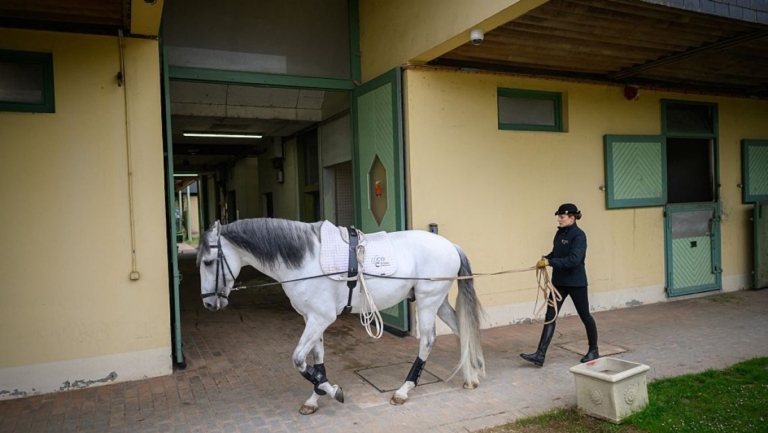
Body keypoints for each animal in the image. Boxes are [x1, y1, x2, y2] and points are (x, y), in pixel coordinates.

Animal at [196, 218, 485, 415]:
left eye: (208, 262)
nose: (209, 303)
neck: (305, 261)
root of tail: (450, 245)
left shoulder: (320, 319)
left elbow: (299, 359)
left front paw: (334, 391)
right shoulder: (311, 319)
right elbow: (316, 359)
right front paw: (314, 398)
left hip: (427, 302)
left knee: (427, 341)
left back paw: (404, 391)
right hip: (437, 303)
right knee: (461, 329)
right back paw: (471, 376)